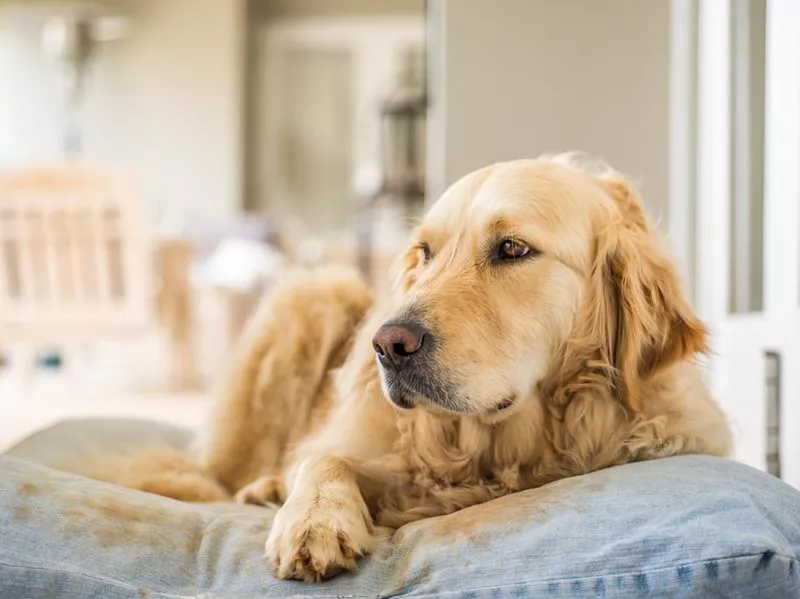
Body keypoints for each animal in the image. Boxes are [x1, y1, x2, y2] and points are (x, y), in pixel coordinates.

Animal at [79, 154, 732, 580]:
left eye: (513, 248)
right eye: (425, 253)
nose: (387, 344)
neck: (498, 448)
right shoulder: (360, 440)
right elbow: (323, 457)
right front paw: (314, 521)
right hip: (316, 294)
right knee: (229, 471)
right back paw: (264, 488)